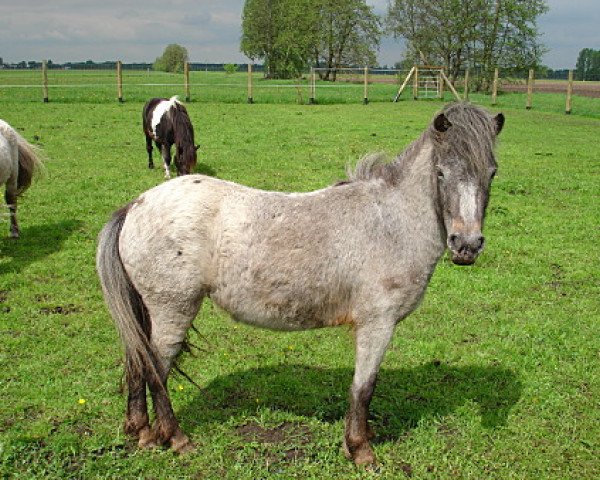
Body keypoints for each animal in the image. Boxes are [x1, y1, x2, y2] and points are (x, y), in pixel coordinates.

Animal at [96, 102, 504, 464]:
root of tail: (135, 205)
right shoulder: (377, 324)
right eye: (441, 174)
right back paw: (176, 439)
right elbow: (364, 387)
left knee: (137, 363)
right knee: (155, 369)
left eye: (492, 172)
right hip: (173, 311)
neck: (389, 222)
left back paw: (142, 432)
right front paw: (360, 449)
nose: (467, 245)